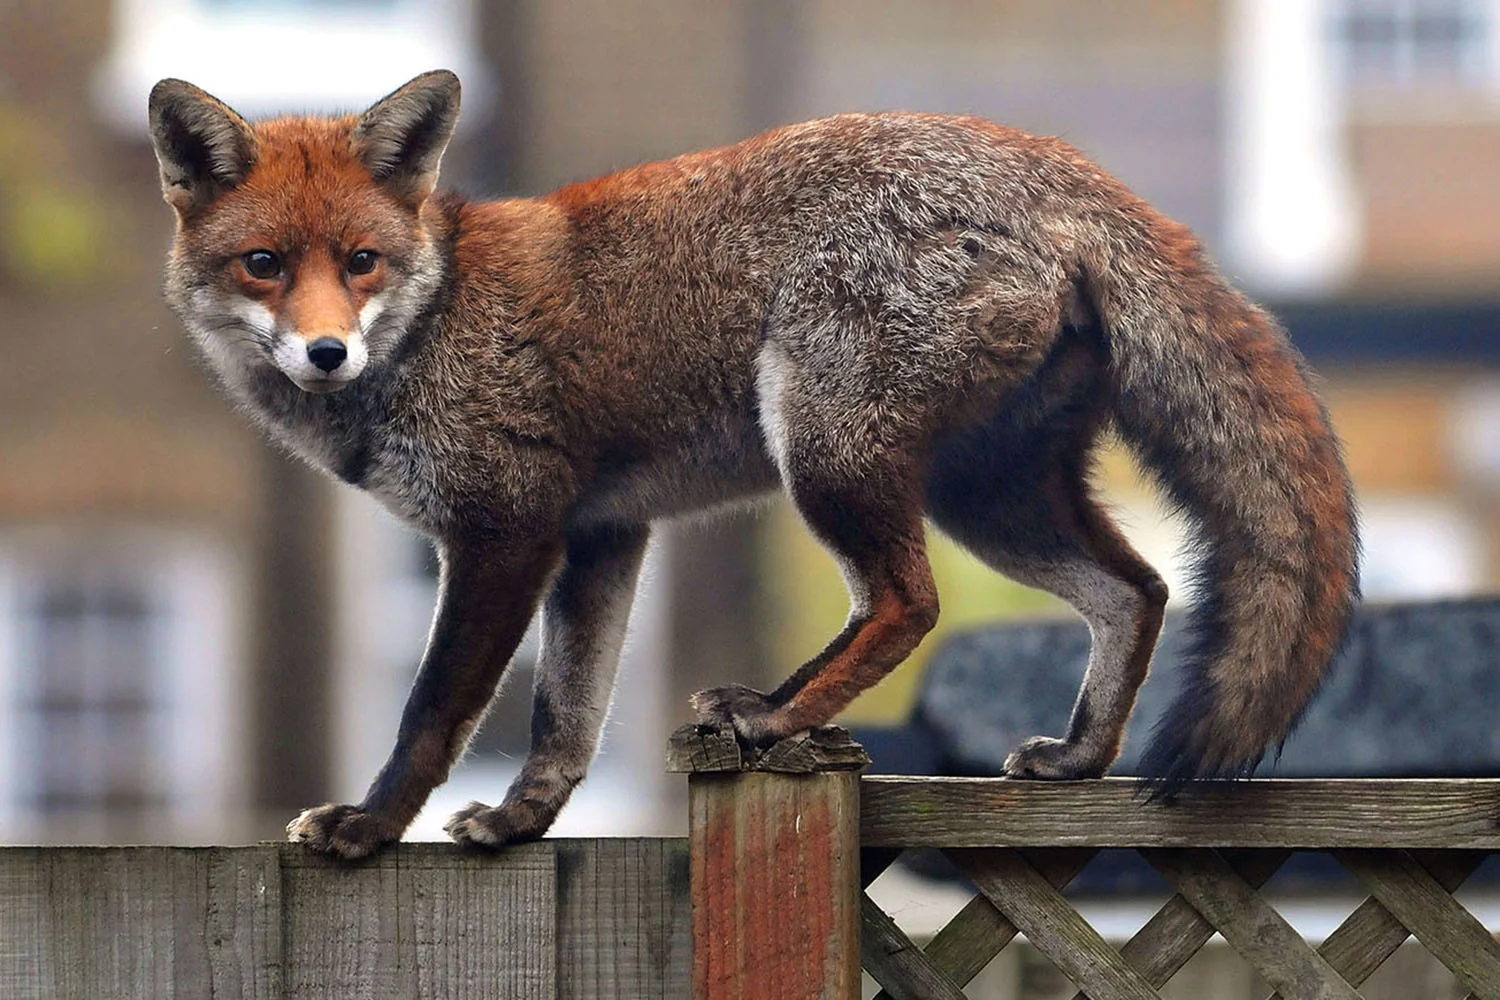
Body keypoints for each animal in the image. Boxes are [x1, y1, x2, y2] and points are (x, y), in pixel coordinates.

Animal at [148, 70, 1358, 859]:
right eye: (265, 265)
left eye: (360, 262)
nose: (326, 352)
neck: (438, 319)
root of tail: (1058, 165)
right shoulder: (601, 535)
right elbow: (564, 719)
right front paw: (523, 822)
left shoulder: (507, 529)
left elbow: (433, 710)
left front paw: (368, 828)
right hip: (985, 495)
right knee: (1135, 590)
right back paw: (1074, 756)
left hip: (828, 449)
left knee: (908, 604)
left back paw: (776, 722)